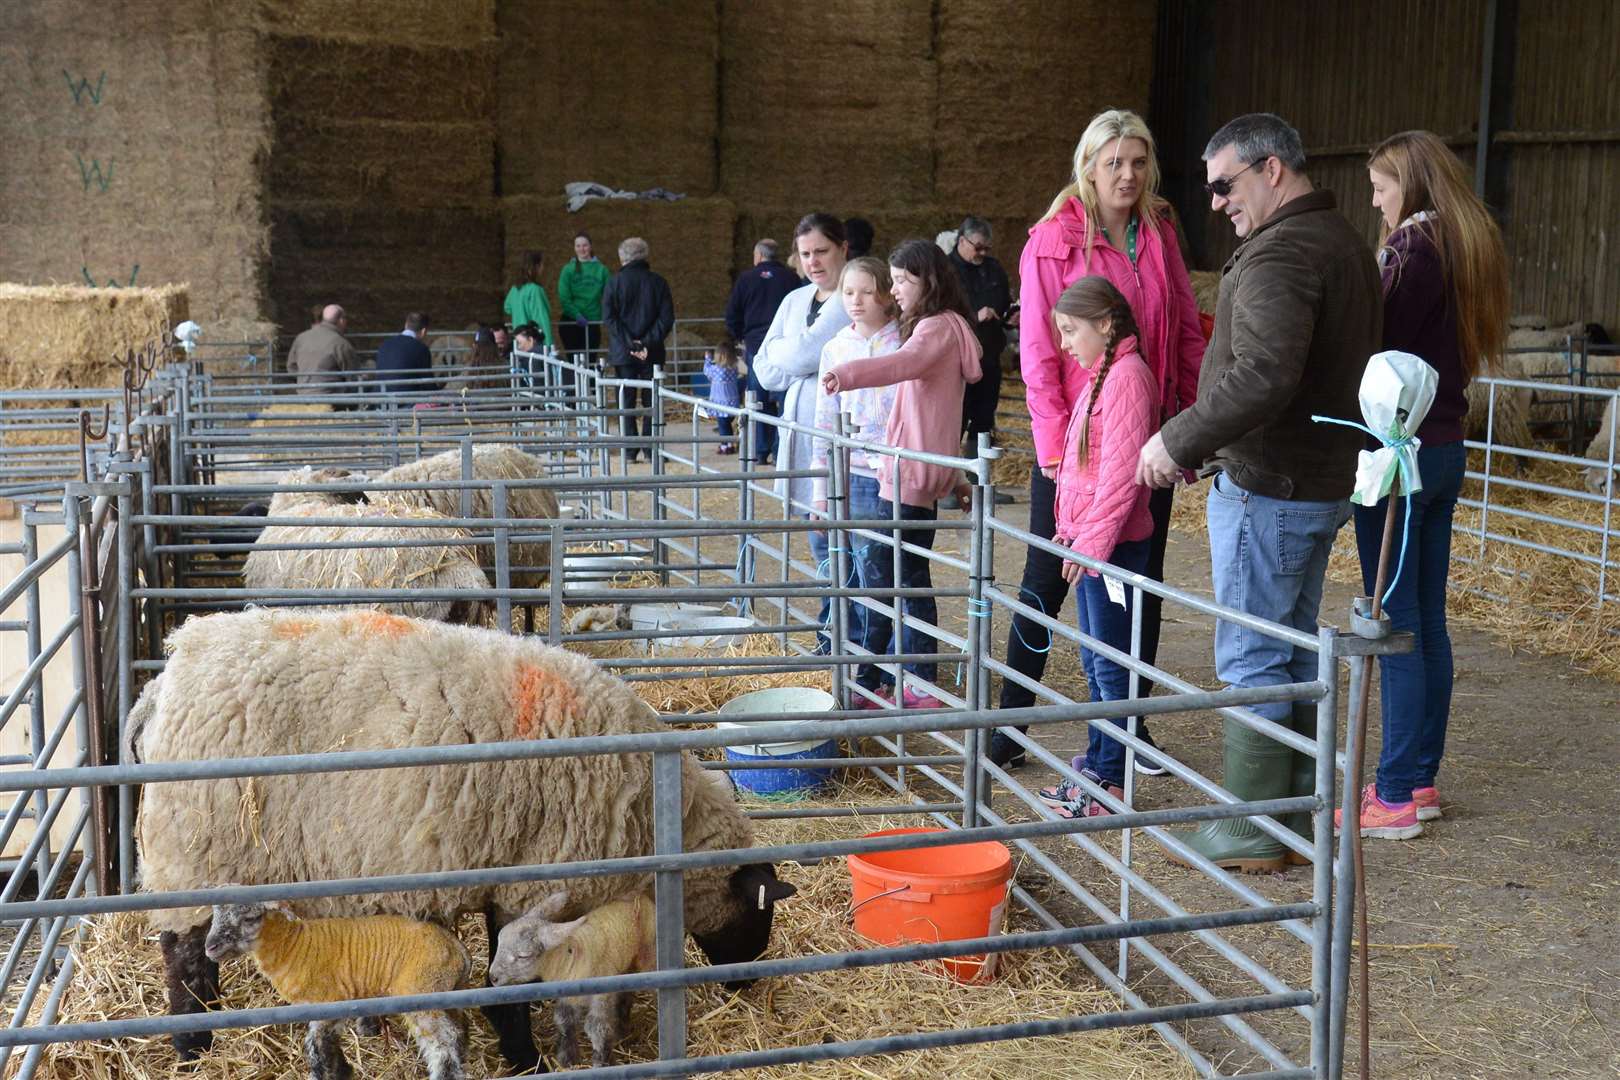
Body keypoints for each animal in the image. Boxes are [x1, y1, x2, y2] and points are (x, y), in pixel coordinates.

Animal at [202, 900, 469, 1080]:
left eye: (249, 918)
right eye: (215, 915)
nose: (210, 947)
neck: (292, 945)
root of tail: (457, 949)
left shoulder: (328, 1001)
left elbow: (316, 1047)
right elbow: (325, 1044)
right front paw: (343, 1070)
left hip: (421, 992)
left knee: (444, 1040)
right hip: (446, 991)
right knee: (459, 1029)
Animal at [486, 893, 657, 1068]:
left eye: (523, 956)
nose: (492, 977)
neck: (570, 957)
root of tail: (640, 896)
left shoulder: (601, 996)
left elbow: (597, 1028)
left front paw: (601, 1063)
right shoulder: (567, 997)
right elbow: (564, 1022)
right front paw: (567, 1059)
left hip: (648, 952)